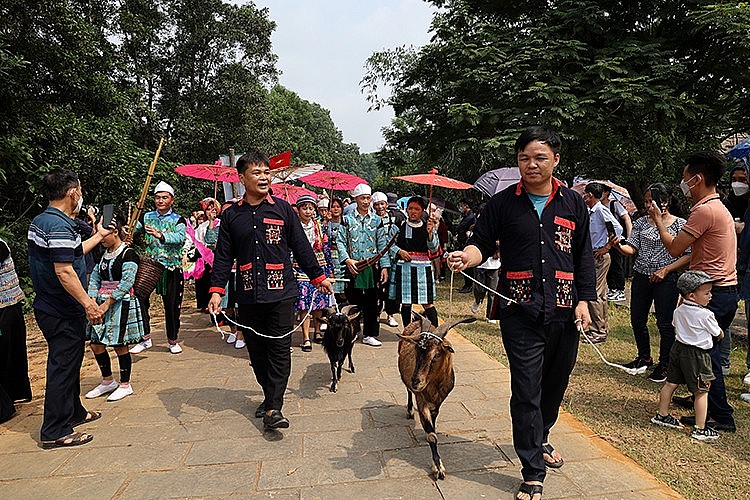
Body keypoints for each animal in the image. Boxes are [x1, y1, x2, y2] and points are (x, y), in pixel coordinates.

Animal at [400, 312, 476, 480]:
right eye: (416, 351)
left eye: (436, 355)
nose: (416, 381)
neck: (433, 385)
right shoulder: (421, 400)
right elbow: (432, 436)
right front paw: (438, 468)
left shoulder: (439, 401)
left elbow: (433, 424)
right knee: (408, 391)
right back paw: (409, 410)